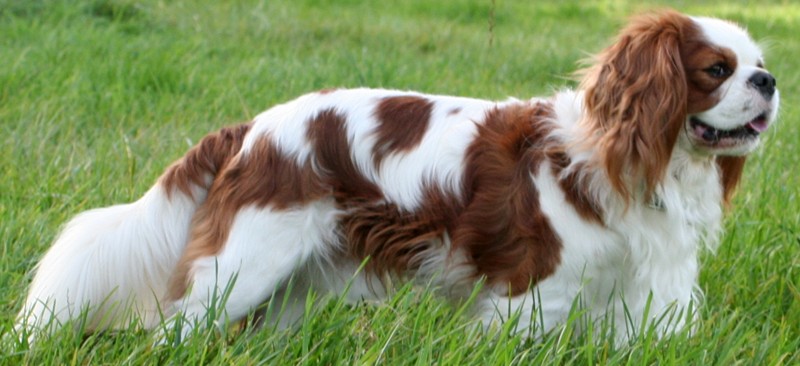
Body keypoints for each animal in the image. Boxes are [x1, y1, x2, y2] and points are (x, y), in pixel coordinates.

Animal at [17, 10, 780, 344]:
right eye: (716, 70)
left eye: (759, 63)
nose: (770, 82)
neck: (622, 157)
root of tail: (253, 127)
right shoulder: (531, 296)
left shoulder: (634, 299)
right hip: (241, 269)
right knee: (176, 329)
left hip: (288, 286)